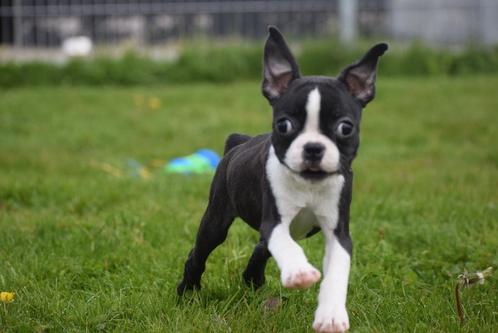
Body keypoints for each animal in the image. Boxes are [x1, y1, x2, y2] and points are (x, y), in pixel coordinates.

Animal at [177, 26, 388, 332]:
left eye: (345, 128)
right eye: (284, 125)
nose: (313, 148)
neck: (308, 185)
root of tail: (239, 142)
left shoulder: (338, 232)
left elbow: (338, 270)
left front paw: (331, 315)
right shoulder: (274, 220)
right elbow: (284, 243)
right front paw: (299, 272)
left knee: (259, 249)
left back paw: (252, 280)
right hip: (216, 219)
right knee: (199, 253)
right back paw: (188, 291)